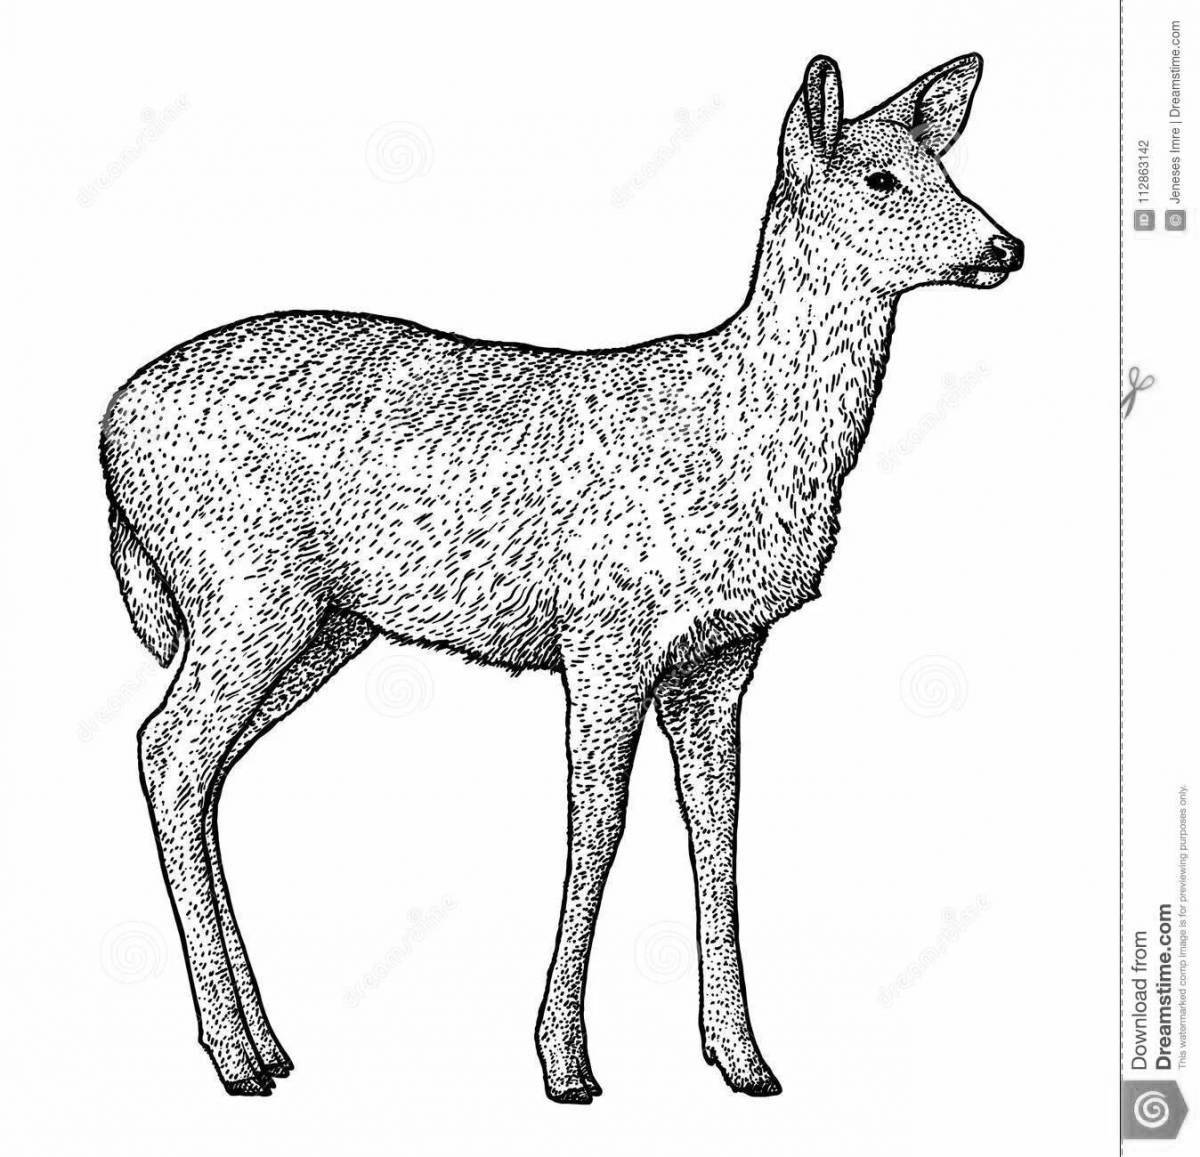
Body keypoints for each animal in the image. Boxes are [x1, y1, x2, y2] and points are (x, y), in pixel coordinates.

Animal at [100, 52, 1023, 1103]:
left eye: (945, 167)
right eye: (881, 179)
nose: (1006, 246)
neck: (737, 437)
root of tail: (109, 433)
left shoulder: (722, 653)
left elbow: (718, 824)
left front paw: (744, 1058)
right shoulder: (606, 631)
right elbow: (599, 824)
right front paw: (567, 1061)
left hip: (322, 621)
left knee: (200, 765)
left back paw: (267, 1045)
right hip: (244, 585)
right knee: (168, 744)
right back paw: (234, 1055)